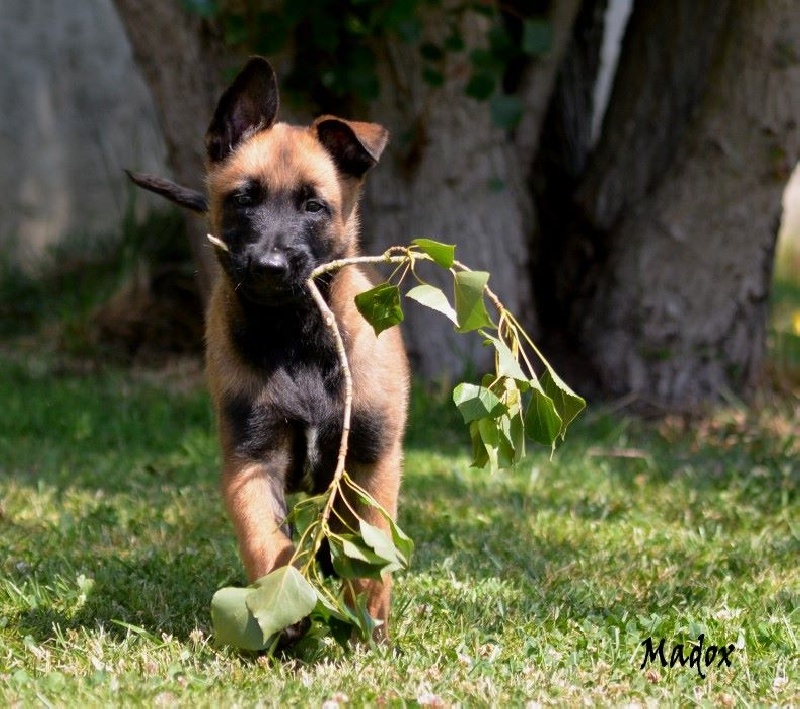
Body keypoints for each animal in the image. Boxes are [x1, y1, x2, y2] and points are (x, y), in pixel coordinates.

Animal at [133, 58, 406, 640]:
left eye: (313, 205)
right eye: (243, 198)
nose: (268, 267)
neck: (296, 341)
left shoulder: (370, 461)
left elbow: (369, 559)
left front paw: (368, 624)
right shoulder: (251, 461)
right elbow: (266, 542)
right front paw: (281, 610)